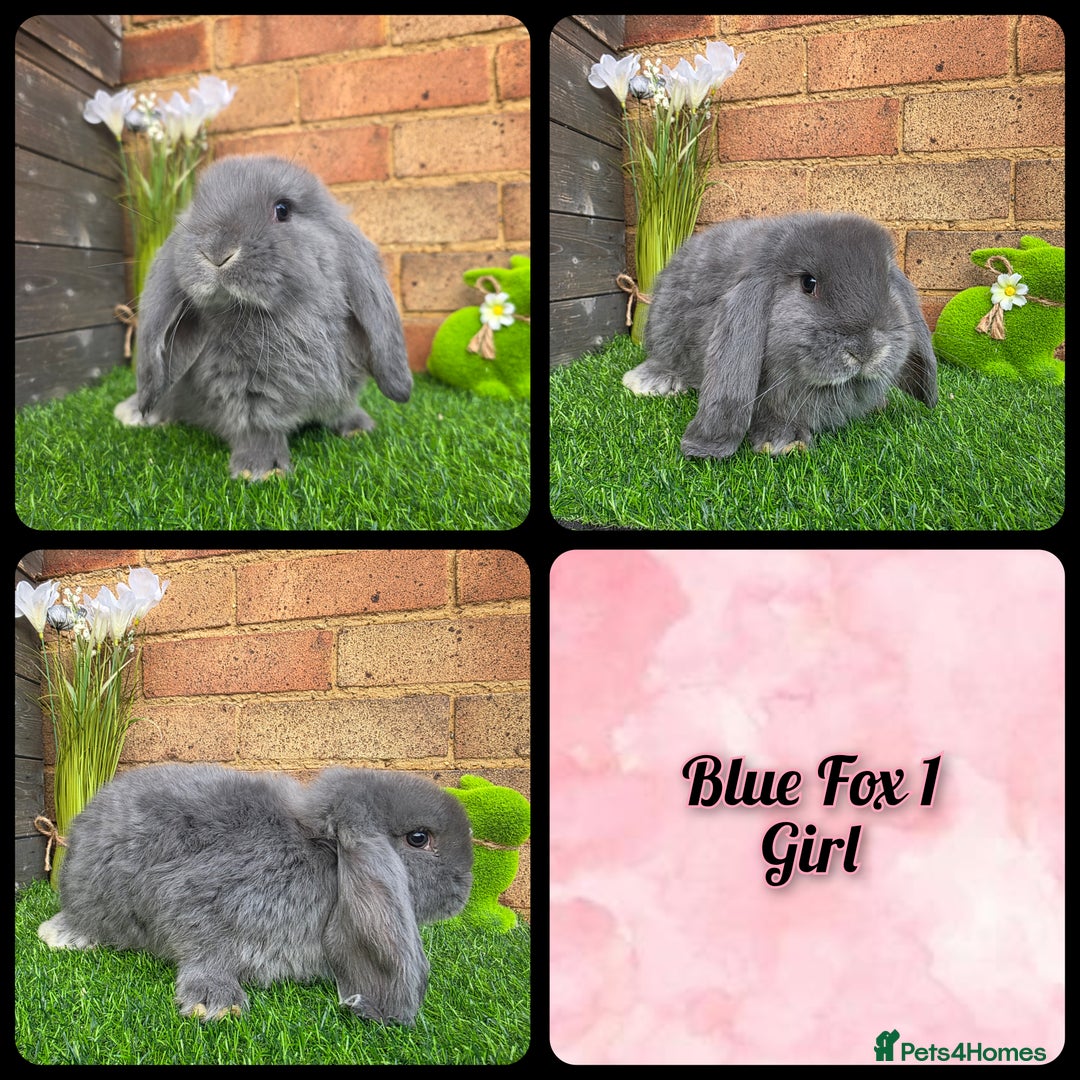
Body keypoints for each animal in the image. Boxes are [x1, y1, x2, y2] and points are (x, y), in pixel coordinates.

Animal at [37, 763, 473, 1025]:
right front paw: (216, 1004)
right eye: (419, 838)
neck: (320, 849)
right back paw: (63, 936)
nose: (464, 890)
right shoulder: (197, 900)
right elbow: (202, 952)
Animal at [113, 155, 413, 480]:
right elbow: (257, 427)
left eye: (282, 209)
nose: (216, 252)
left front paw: (359, 427)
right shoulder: (243, 394)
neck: (278, 317)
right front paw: (261, 470)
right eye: (196, 208)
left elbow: (343, 408)